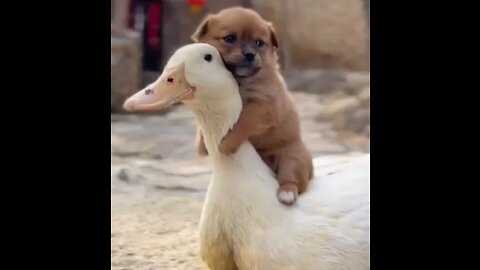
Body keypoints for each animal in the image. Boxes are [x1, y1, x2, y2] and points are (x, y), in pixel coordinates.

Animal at [191, 6, 316, 205]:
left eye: (259, 43)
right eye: (230, 38)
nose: (250, 55)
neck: (239, 81)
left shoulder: (262, 108)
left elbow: (244, 122)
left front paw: (228, 144)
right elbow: (203, 124)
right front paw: (202, 144)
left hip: (292, 159)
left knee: (293, 182)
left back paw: (287, 193)